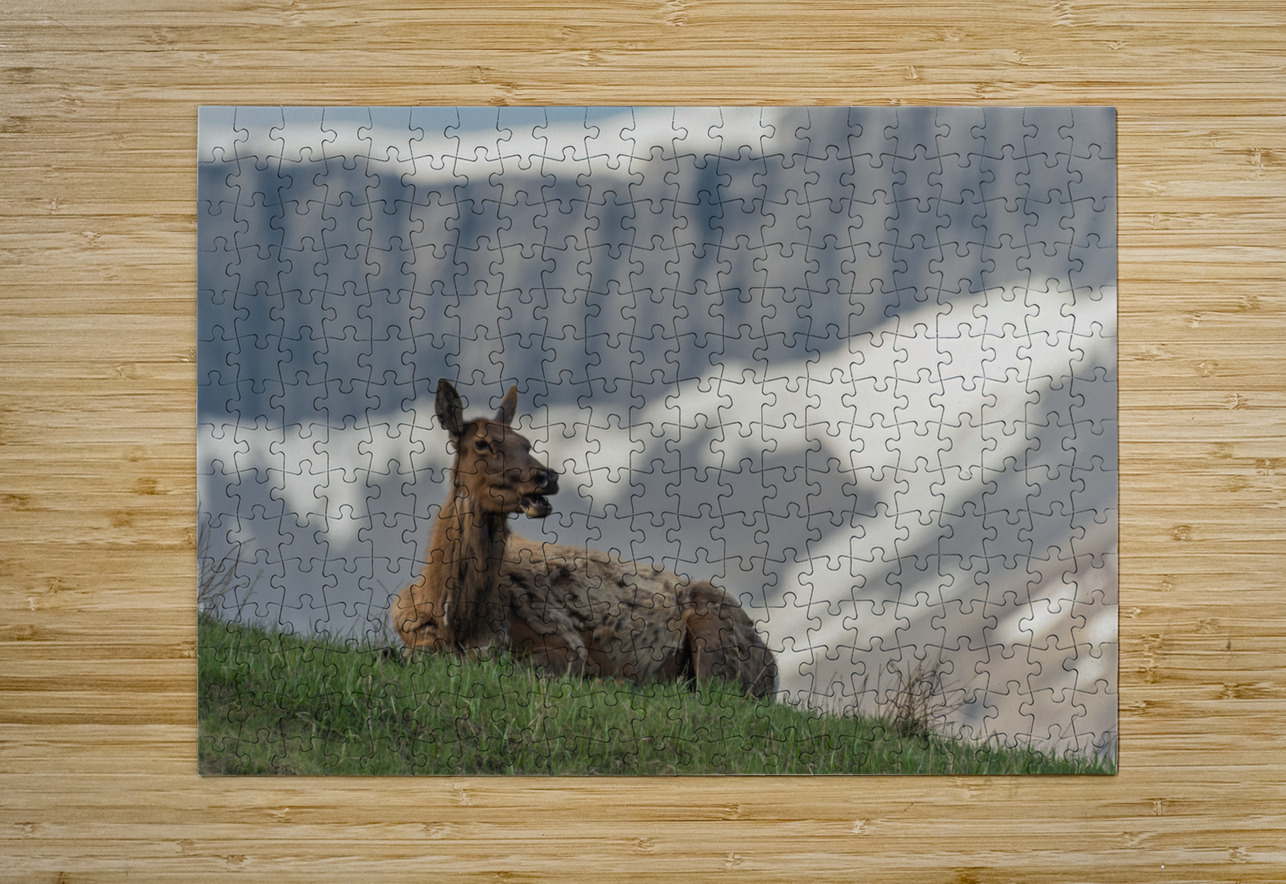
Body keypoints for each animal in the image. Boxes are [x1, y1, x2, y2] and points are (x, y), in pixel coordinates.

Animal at [389, 379, 777, 698]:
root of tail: (772, 670)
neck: (458, 618)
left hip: (717, 631)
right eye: (483, 443)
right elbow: (414, 653)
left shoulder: (565, 639)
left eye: (526, 442)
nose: (546, 476)